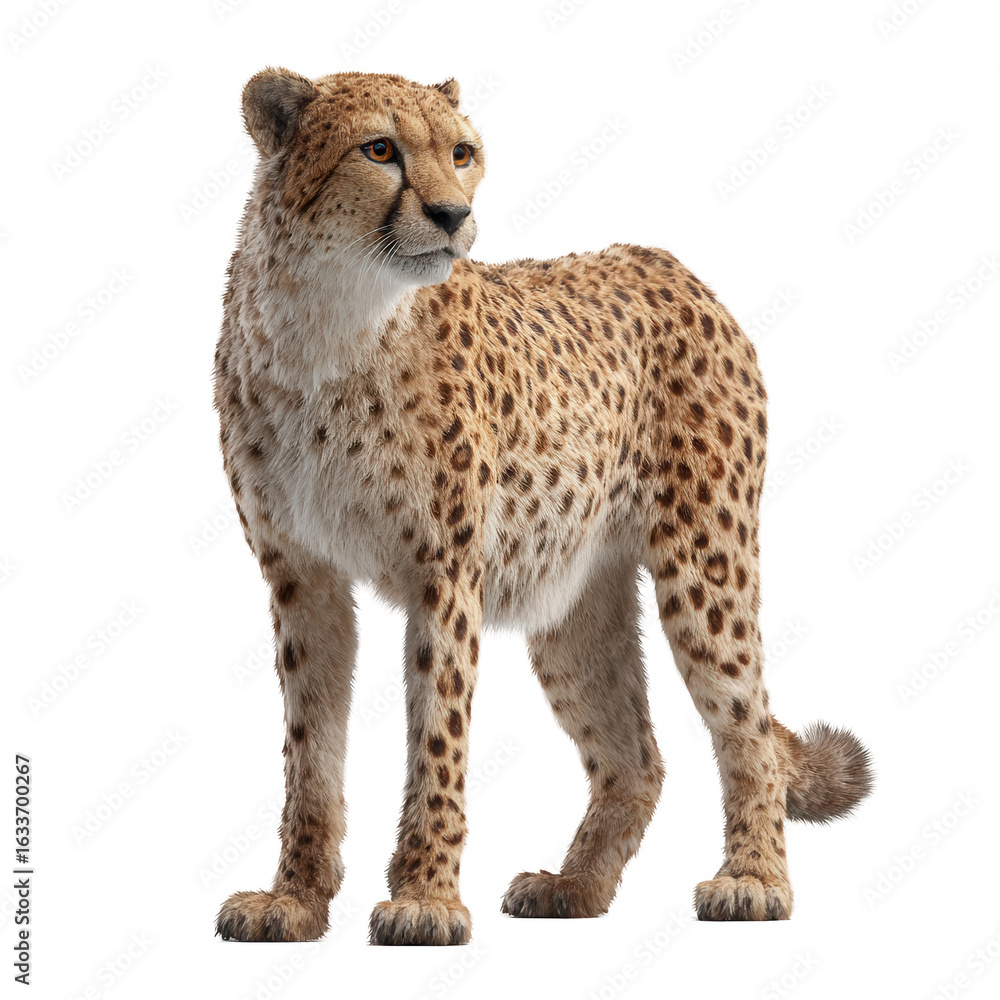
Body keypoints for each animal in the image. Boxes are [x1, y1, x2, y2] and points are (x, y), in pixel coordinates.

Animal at [212, 67, 873, 946]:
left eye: (463, 153)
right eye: (379, 150)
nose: (452, 216)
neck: (331, 319)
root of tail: (668, 263)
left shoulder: (445, 571)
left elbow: (437, 737)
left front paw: (425, 898)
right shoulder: (301, 573)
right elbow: (308, 750)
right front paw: (293, 898)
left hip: (705, 560)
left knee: (748, 727)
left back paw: (754, 880)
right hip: (570, 599)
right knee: (637, 757)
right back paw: (574, 886)